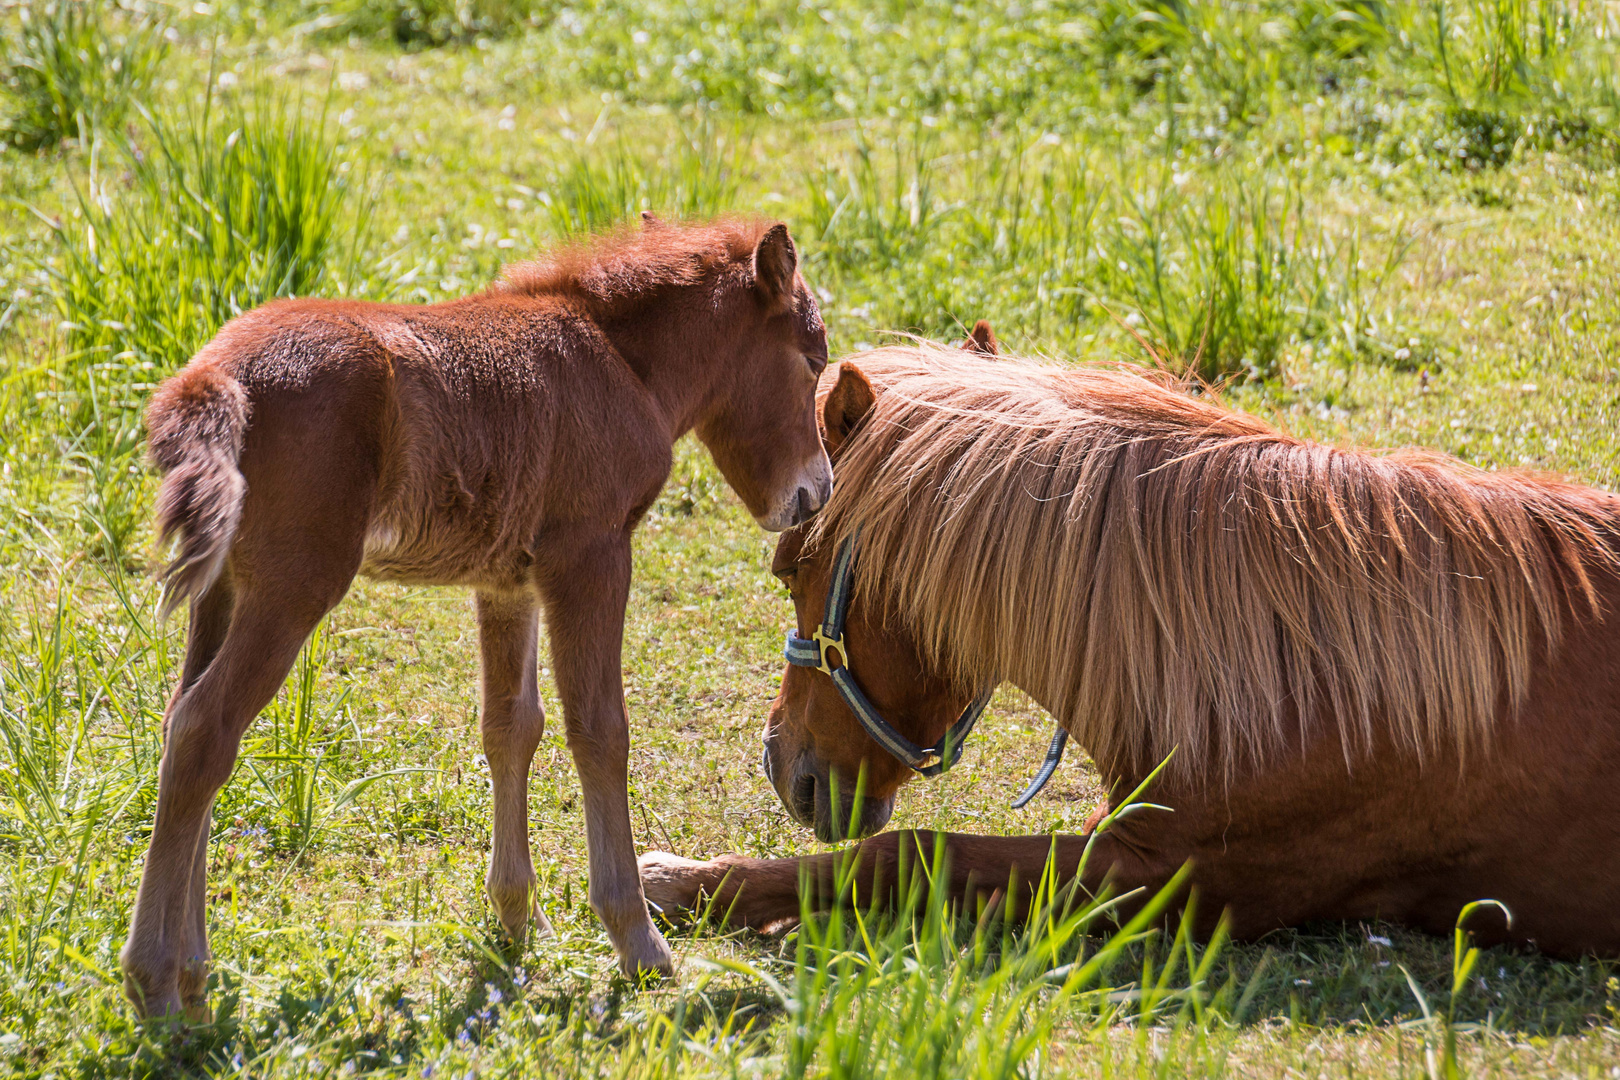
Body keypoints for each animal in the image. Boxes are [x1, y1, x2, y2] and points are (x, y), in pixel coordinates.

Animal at [126, 215, 835, 1016]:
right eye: (812, 359)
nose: (814, 492)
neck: (621, 361)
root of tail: (214, 376)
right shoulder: (590, 554)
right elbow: (600, 731)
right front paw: (637, 941)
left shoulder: (506, 582)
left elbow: (511, 728)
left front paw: (520, 920)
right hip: (294, 586)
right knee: (204, 730)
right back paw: (157, 986)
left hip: (222, 590)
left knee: (181, 725)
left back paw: (191, 974)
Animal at [638, 340, 1620, 965]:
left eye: (789, 567)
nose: (781, 764)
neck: (1305, 666)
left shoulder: (1175, 880)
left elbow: (908, 854)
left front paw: (678, 884)